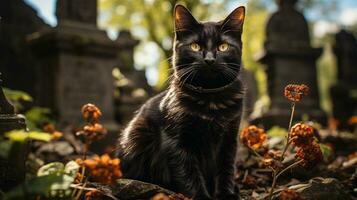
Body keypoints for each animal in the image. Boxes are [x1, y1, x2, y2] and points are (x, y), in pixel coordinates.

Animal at [117, 4, 245, 200]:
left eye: (223, 47)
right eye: (195, 46)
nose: (209, 59)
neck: (211, 102)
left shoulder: (229, 139)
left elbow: (226, 169)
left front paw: (226, 194)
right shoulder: (176, 141)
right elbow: (189, 172)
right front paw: (201, 196)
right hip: (139, 133)